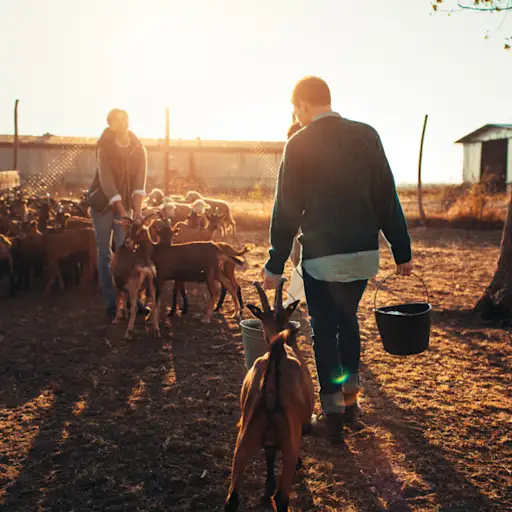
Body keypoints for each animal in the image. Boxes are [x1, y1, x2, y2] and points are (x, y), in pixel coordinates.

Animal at [225, 280, 314, 512]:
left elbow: (269, 456)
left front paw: (267, 488)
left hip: (244, 438)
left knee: (231, 498)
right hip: (289, 441)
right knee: (282, 498)